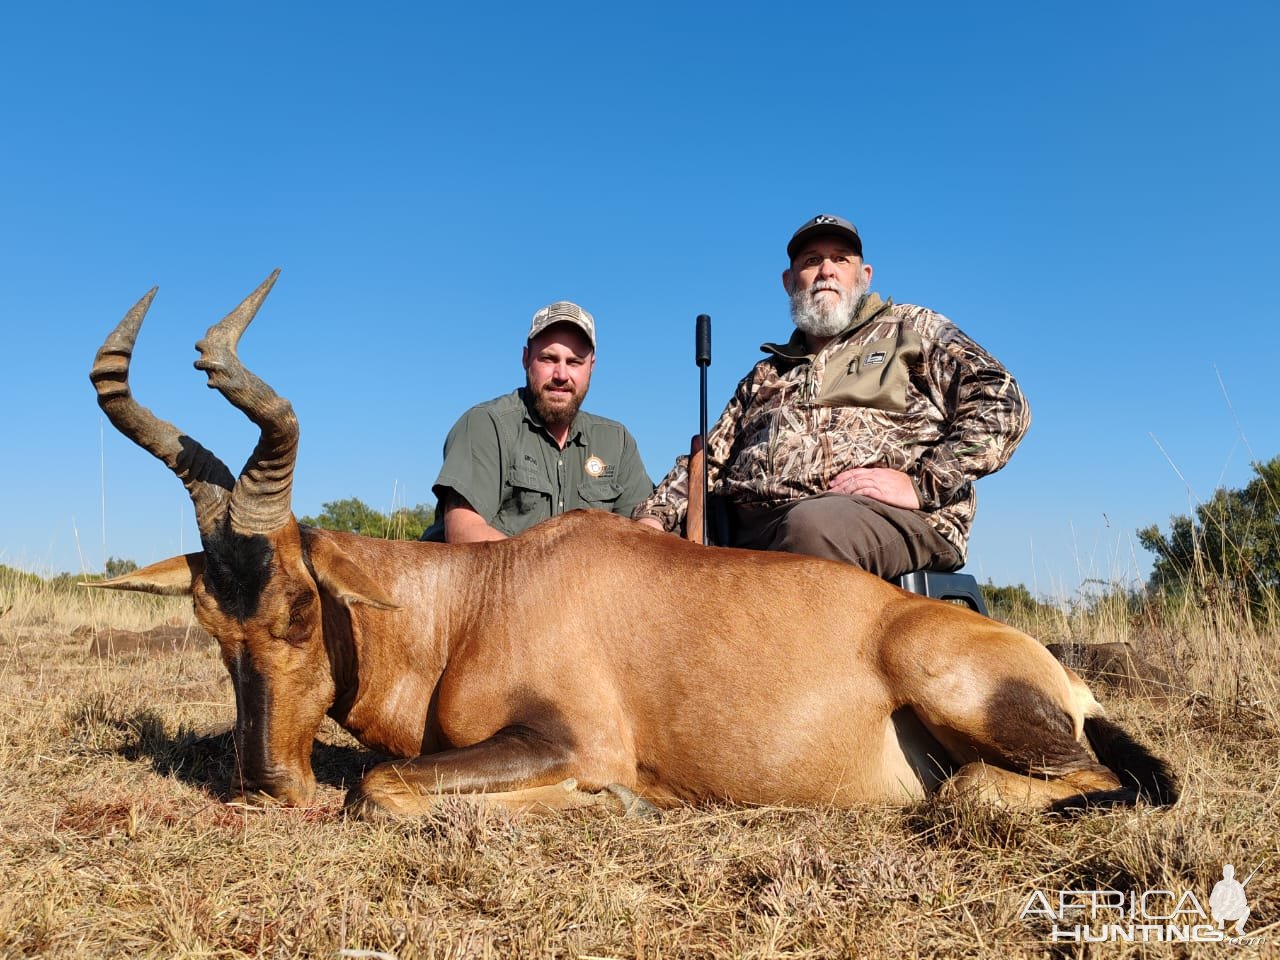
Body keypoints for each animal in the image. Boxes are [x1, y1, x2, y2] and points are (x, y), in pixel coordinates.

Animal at [85, 272, 1172, 819]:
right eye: (211, 625)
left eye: (305, 607)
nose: (272, 786)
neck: (484, 595)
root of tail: (1057, 670)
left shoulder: (572, 736)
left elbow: (385, 789)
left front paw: (623, 803)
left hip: (962, 696)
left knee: (1026, 789)